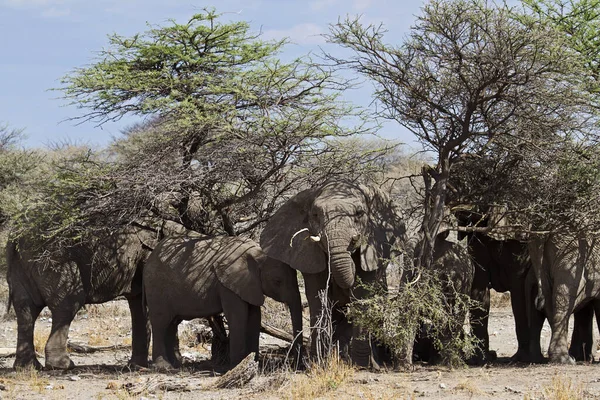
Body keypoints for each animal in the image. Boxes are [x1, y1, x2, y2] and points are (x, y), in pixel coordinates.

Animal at [6, 220, 171, 370]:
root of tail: (14, 239)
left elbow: (139, 302)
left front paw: (137, 366)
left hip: (21, 267)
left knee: (26, 310)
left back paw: (27, 367)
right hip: (55, 263)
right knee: (67, 305)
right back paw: (62, 366)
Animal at [142, 236, 304, 370]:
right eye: (278, 281)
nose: (297, 366)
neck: (257, 253)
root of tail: (149, 258)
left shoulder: (248, 285)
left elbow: (254, 317)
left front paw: (253, 364)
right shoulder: (227, 285)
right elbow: (238, 316)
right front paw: (236, 366)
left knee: (172, 323)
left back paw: (176, 365)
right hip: (156, 287)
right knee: (161, 323)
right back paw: (164, 367)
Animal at [260, 180, 406, 368]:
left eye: (359, 213)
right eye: (315, 214)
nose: (352, 245)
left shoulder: (374, 246)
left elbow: (362, 294)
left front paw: (360, 364)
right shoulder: (309, 254)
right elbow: (317, 295)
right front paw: (318, 363)